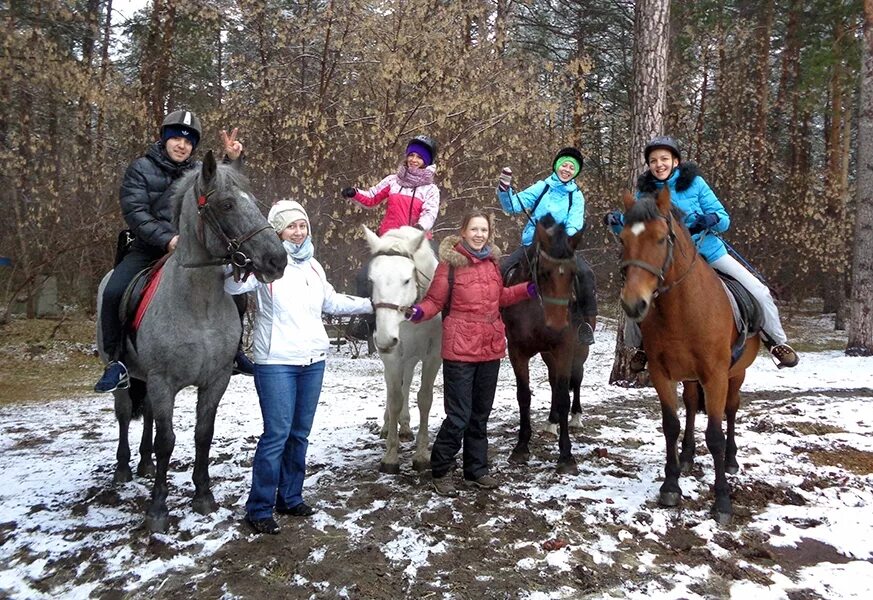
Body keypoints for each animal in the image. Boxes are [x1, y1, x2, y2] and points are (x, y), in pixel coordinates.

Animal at [96, 151, 284, 536]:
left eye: (254, 203)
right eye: (227, 204)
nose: (278, 259)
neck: (199, 305)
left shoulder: (214, 380)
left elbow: (202, 434)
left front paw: (203, 496)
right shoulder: (163, 381)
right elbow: (167, 440)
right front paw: (157, 510)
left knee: (148, 419)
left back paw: (144, 463)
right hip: (127, 376)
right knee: (124, 414)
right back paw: (123, 469)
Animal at [362, 225, 442, 474]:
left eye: (407, 280)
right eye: (372, 280)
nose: (386, 338)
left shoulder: (433, 356)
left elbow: (424, 398)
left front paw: (422, 454)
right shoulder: (393, 357)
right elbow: (395, 398)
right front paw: (390, 456)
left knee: (406, 384)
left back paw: (405, 427)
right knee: (393, 388)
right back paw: (390, 426)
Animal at [500, 216, 596, 474]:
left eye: (573, 274)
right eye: (543, 272)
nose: (557, 324)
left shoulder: (564, 349)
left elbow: (564, 396)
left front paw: (566, 456)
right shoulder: (517, 351)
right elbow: (524, 395)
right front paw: (521, 447)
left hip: (579, 350)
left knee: (576, 379)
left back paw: (576, 417)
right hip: (547, 354)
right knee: (554, 382)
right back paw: (552, 423)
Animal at [616, 188, 760, 524]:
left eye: (660, 238)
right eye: (623, 239)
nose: (633, 304)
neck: (682, 309)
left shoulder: (716, 376)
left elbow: (716, 435)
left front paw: (722, 501)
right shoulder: (662, 373)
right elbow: (671, 425)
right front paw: (671, 485)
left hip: (736, 374)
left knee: (731, 410)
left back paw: (731, 460)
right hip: (692, 377)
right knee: (693, 406)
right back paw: (687, 456)